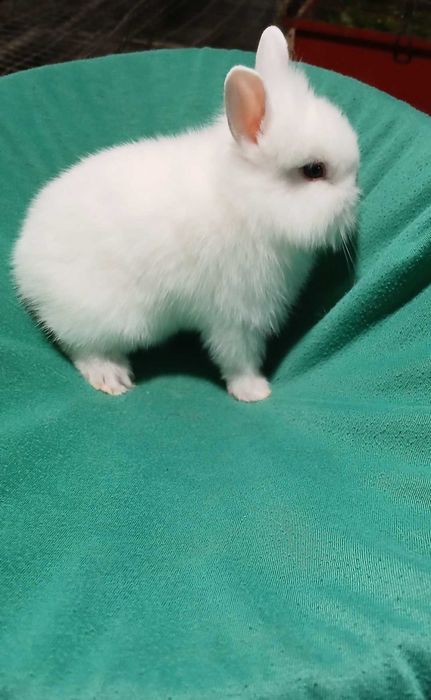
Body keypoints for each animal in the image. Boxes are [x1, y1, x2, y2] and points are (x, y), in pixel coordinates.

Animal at [12, 26, 359, 402]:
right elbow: (237, 358)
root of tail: (21, 262)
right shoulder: (235, 316)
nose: (355, 199)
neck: (243, 198)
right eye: (313, 170)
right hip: (107, 316)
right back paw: (111, 378)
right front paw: (255, 391)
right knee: (81, 347)